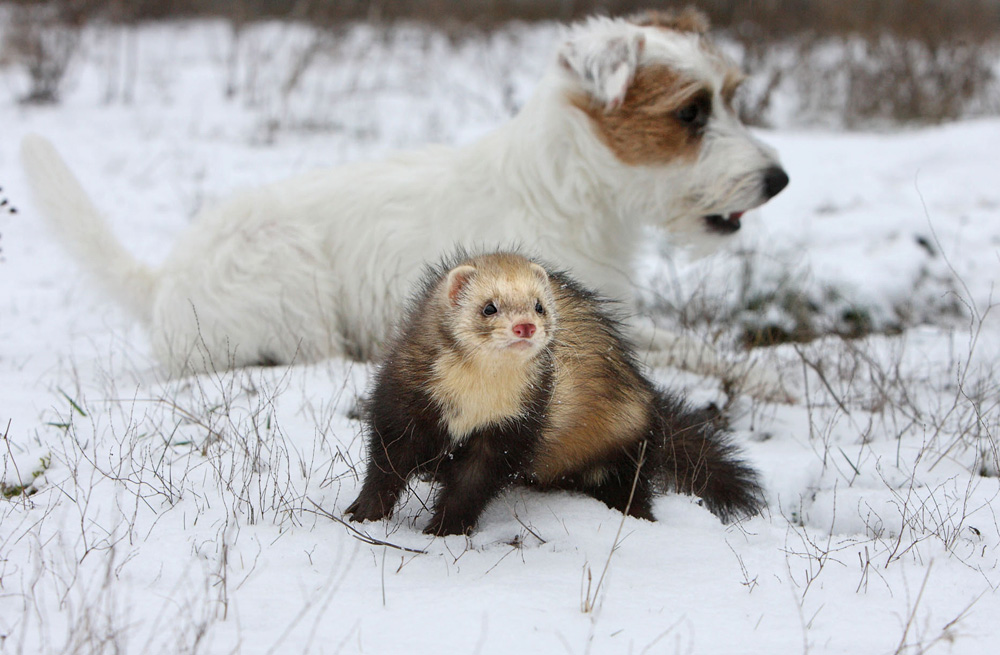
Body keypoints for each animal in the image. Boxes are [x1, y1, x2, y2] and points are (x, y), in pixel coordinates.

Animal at [19, 7, 788, 394]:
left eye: (732, 96)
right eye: (691, 112)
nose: (778, 180)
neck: (572, 188)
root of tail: (159, 284)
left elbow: (694, 345)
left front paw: (771, 376)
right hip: (288, 280)